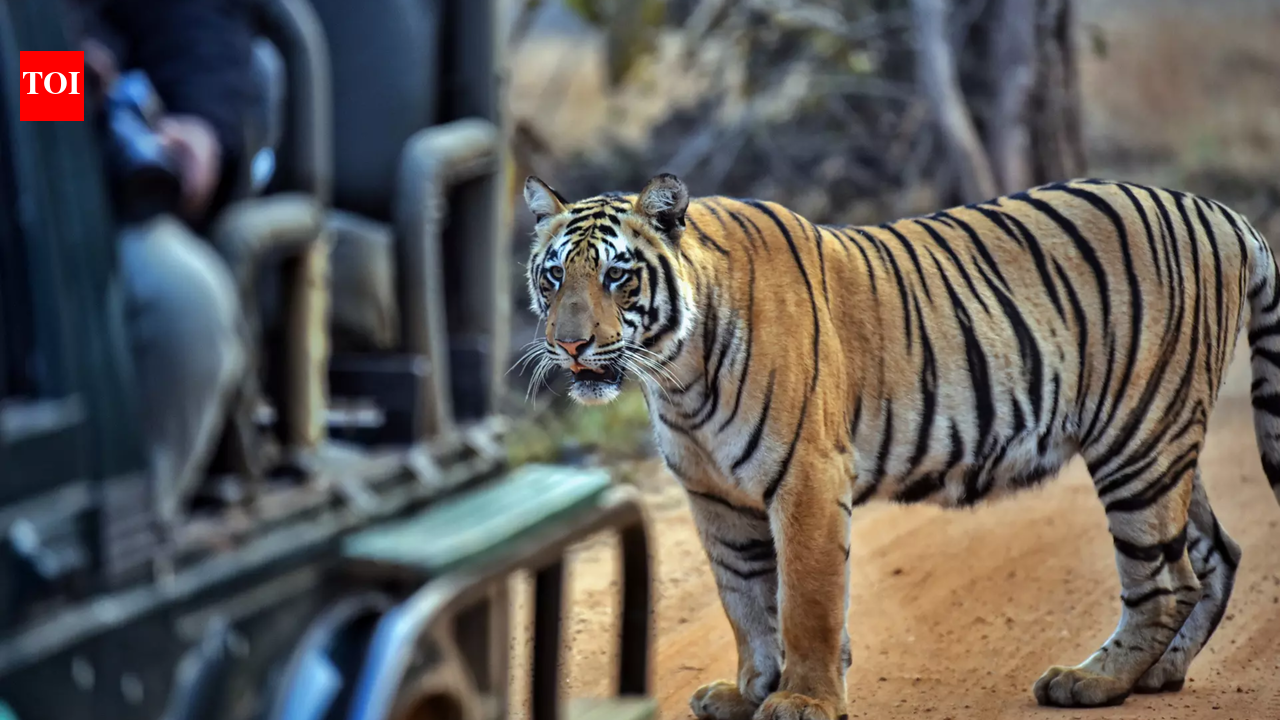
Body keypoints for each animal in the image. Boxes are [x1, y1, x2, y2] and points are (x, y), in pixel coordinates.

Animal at [521, 172, 1280, 719]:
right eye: (553, 276)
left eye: (617, 276)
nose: (570, 344)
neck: (676, 372)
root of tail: (1221, 212)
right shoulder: (715, 497)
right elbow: (745, 601)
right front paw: (749, 692)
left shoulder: (808, 477)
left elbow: (805, 600)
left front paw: (802, 701)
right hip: (1163, 441)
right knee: (1216, 555)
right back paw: (1160, 675)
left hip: (1138, 441)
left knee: (1164, 581)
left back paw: (1093, 682)